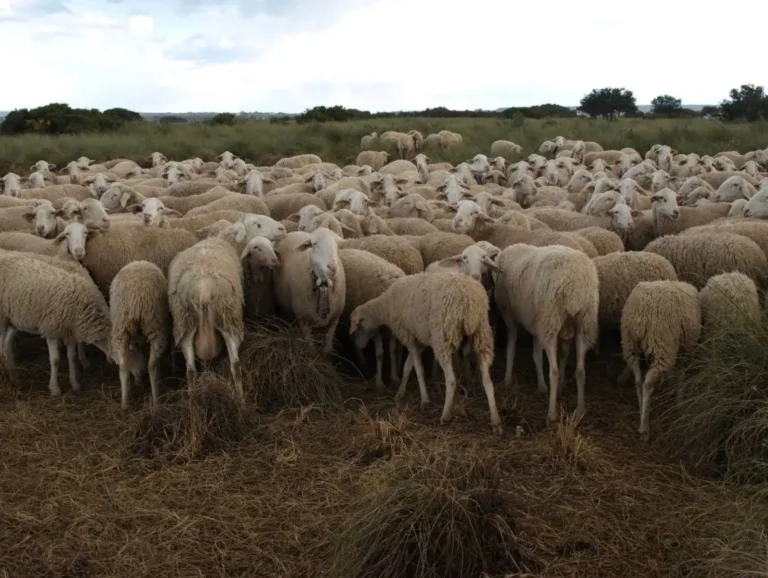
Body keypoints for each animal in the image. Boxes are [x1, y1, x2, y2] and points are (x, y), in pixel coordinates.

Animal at [0, 255, 111, 396]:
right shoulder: (51, 329)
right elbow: (55, 360)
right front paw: (54, 389)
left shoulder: (69, 332)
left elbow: (72, 357)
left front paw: (75, 384)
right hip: (2, 317)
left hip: (14, 317)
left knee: (6, 343)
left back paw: (12, 372)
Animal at [109, 261, 170, 410]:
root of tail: (136, 299)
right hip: (155, 325)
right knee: (152, 365)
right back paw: (157, 402)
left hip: (121, 327)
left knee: (123, 366)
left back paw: (125, 403)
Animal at [350, 272, 502, 434]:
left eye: (357, 328)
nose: (359, 346)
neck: (387, 306)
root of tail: (469, 302)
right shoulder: (419, 339)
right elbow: (407, 366)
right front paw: (400, 393)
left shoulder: (408, 336)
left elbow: (418, 369)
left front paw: (424, 399)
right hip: (482, 334)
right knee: (487, 379)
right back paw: (495, 420)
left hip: (442, 337)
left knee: (451, 380)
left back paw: (445, 415)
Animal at [494, 243, 599, 424]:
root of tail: (573, 287)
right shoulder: (541, 325)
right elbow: (545, 355)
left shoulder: (512, 314)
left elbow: (513, 345)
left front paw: (508, 379)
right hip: (584, 321)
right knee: (580, 370)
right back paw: (580, 409)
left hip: (550, 320)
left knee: (554, 371)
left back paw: (551, 414)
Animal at [621, 280, 701, 440]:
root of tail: (641, 314)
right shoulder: (686, 349)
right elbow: (682, 374)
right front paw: (679, 400)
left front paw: (670, 388)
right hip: (662, 345)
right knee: (647, 384)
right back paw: (644, 428)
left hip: (630, 344)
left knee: (638, 381)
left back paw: (641, 410)